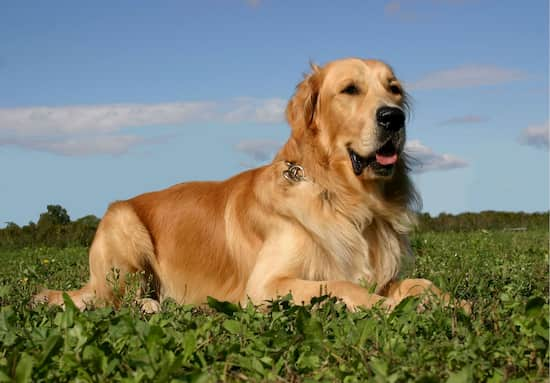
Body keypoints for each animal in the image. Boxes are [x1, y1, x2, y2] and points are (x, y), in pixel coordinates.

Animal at [33, 57, 458, 316]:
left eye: (394, 89)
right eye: (350, 89)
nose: (394, 117)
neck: (343, 197)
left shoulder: (384, 274)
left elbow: (420, 283)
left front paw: (453, 303)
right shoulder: (266, 285)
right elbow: (340, 284)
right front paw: (388, 308)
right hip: (124, 227)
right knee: (115, 303)